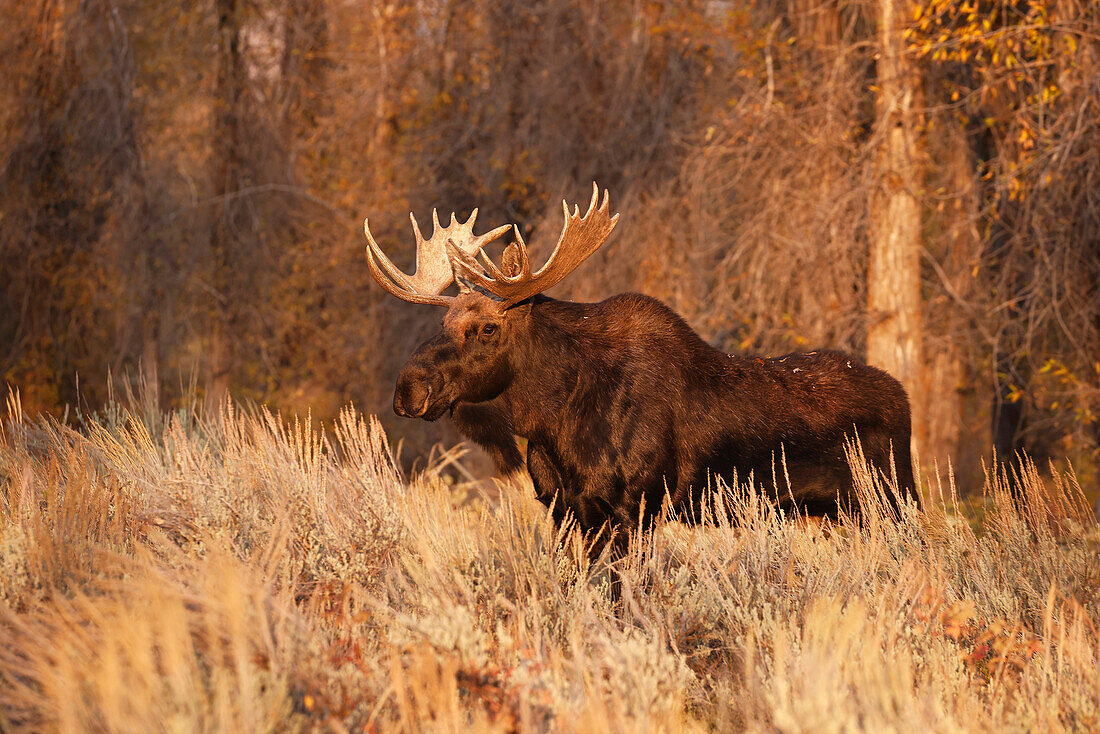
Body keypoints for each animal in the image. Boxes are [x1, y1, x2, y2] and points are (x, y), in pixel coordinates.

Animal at [367, 183, 919, 537]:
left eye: (487, 328)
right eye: (441, 323)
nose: (408, 389)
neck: (554, 420)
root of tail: (903, 398)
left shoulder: (635, 507)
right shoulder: (565, 510)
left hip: (892, 501)